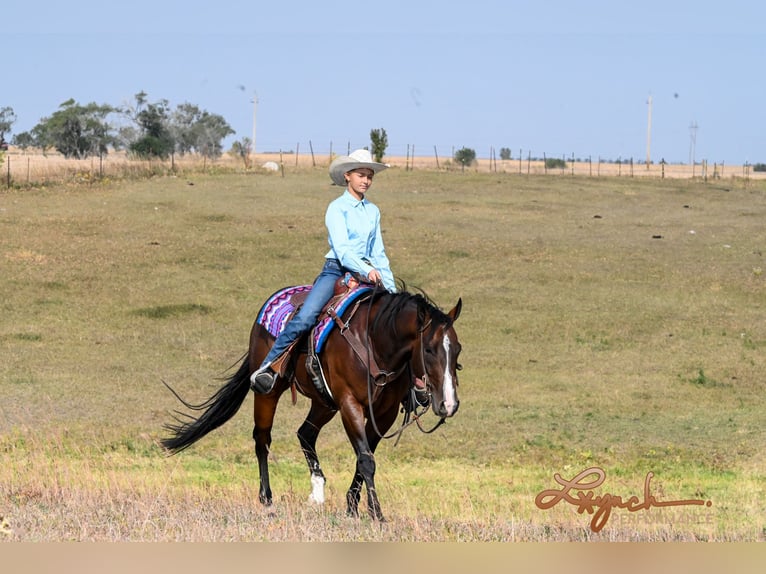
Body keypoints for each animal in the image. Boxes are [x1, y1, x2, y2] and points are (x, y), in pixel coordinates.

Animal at [161, 286, 462, 524]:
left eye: (457, 349)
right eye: (428, 349)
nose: (448, 404)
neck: (374, 343)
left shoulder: (383, 414)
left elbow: (364, 458)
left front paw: (352, 507)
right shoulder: (349, 404)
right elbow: (366, 459)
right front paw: (376, 513)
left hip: (323, 403)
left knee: (305, 433)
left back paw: (317, 491)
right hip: (270, 392)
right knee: (262, 439)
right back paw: (267, 499)